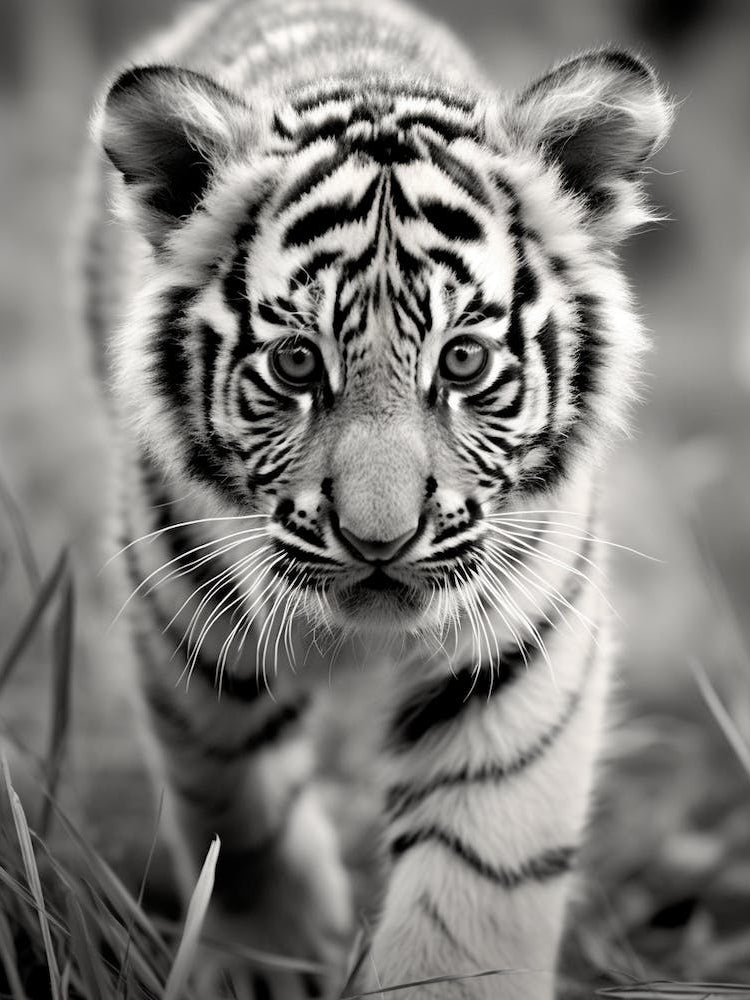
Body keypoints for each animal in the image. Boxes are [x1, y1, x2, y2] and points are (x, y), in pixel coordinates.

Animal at [82, 0, 672, 996]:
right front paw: (270, 961)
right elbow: (233, 800)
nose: (379, 541)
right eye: (296, 363)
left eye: (463, 361)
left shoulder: (521, 641)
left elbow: (477, 868)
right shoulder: (182, 611)